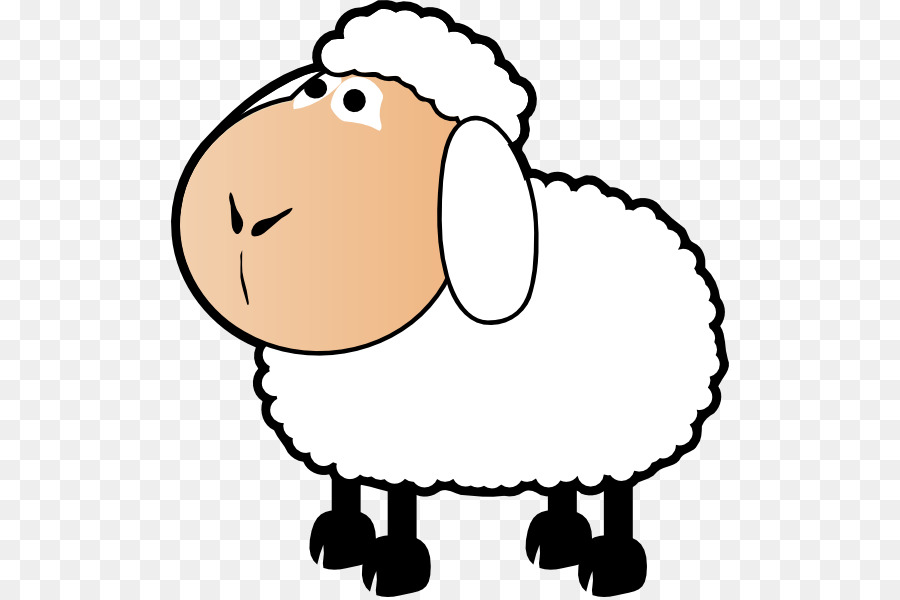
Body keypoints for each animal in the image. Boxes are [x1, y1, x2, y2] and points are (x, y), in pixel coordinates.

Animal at [171, 2, 728, 597]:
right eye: (315, 89)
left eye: (357, 102)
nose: (245, 219)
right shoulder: (348, 429)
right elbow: (346, 483)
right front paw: (341, 540)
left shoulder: (405, 432)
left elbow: (399, 501)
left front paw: (394, 564)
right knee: (564, 480)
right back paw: (556, 539)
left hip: (626, 418)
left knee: (617, 490)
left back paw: (610, 565)